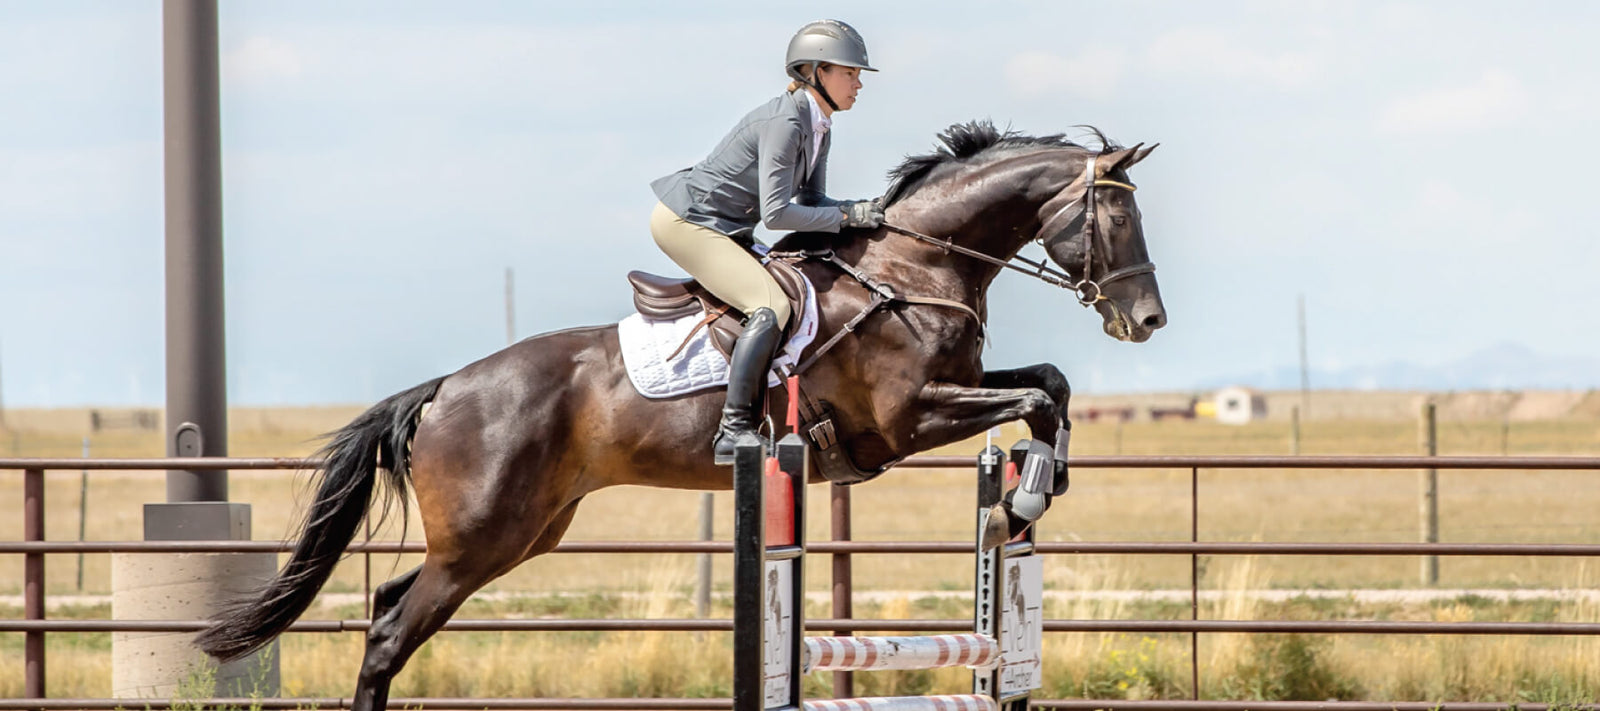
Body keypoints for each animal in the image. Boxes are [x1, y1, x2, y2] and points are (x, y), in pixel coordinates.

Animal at [195, 121, 1166, 710]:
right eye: (1118, 219)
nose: (1146, 321)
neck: (914, 270)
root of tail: (444, 389)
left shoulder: (948, 398)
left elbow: (1050, 384)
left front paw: (1039, 482)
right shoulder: (905, 421)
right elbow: (1035, 393)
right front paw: (1031, 492)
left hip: (523, 534)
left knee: (392, 608)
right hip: (482, 535)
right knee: (394, 628)